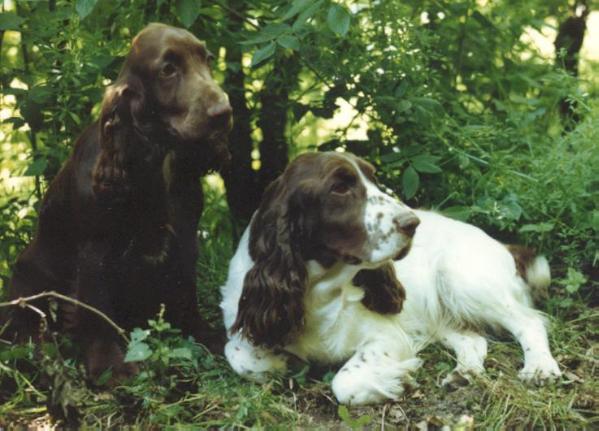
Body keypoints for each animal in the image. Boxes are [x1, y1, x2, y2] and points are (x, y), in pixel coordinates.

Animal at [7, 22, 232, 382]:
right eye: (168, 70)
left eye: (208, 59)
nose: (223, 113)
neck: (156, 155)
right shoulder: (96, 250)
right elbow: (96, 310)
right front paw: (110, 366)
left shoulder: (184, 236)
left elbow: (186, 291)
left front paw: (204, 334)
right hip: (29, 274)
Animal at [220, 151, 564, 404]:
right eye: (339, 187)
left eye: (374, 179)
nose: (412, 223)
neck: (319, 289)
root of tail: (503, 245)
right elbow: (240, 358)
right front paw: (282, 363)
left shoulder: (386, 336)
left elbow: (346, 383)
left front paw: (398, 381)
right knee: (473, 339)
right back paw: (463, 374)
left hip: (462, 281)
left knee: (529, 323)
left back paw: (539, 367)